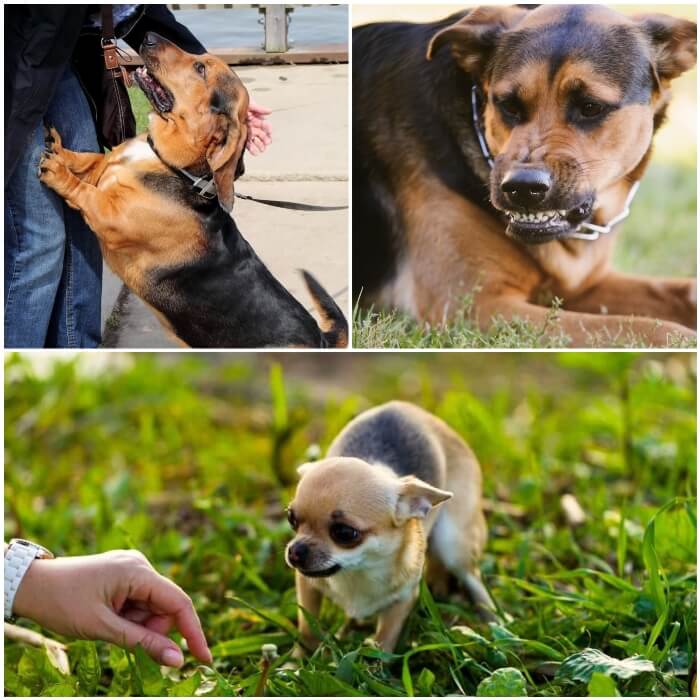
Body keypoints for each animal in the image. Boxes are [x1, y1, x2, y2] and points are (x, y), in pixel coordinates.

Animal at [40, 34, 348, 348]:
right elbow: (89, 159)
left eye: (200, 69)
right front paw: (60, 150)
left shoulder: (111, 218)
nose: (148, 36)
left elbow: (86, 192)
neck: (172, 164)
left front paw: (58, 172)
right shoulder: (103, 167)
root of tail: (320, 338)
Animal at [352, 4, 696, 346]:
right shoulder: (474, 306)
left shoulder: (585, 285)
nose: (523, 188)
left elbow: (682, 292)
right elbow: (649, 329)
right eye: (509, 105)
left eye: (590, 107)